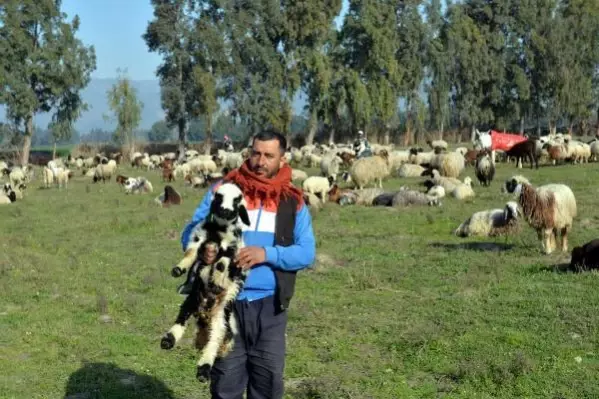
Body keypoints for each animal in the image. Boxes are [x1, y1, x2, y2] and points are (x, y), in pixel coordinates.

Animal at [159, 183, 251, 382]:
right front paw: (178, 270)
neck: (218, 232)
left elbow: (222, 262)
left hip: (221, 316)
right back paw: (167, 341)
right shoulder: (199, 239)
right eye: (218, 196)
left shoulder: (232, 250)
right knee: (181, 320)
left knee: (215, 341)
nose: (225, 211)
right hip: (192, 300)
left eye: (237, 200)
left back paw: (203, 370)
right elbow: (190, 253)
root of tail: (205, 313)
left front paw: (217, 280)